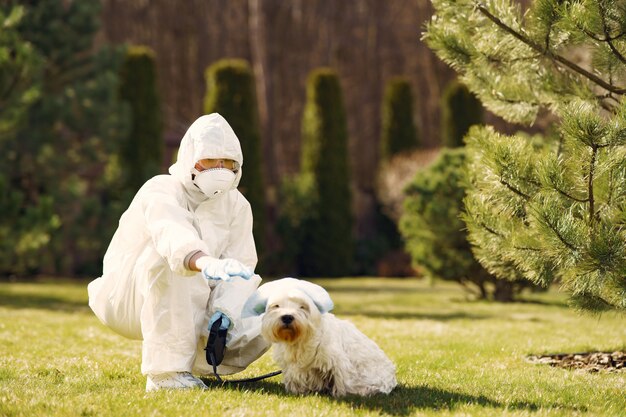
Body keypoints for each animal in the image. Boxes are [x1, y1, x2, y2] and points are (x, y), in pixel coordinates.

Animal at [244, 278, 394, 394]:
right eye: (276, 306)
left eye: (302, 306)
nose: (287, 317)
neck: (299, 339)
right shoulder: (293, 366)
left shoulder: (337, 362)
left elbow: (340, 381)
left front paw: (340, 394)